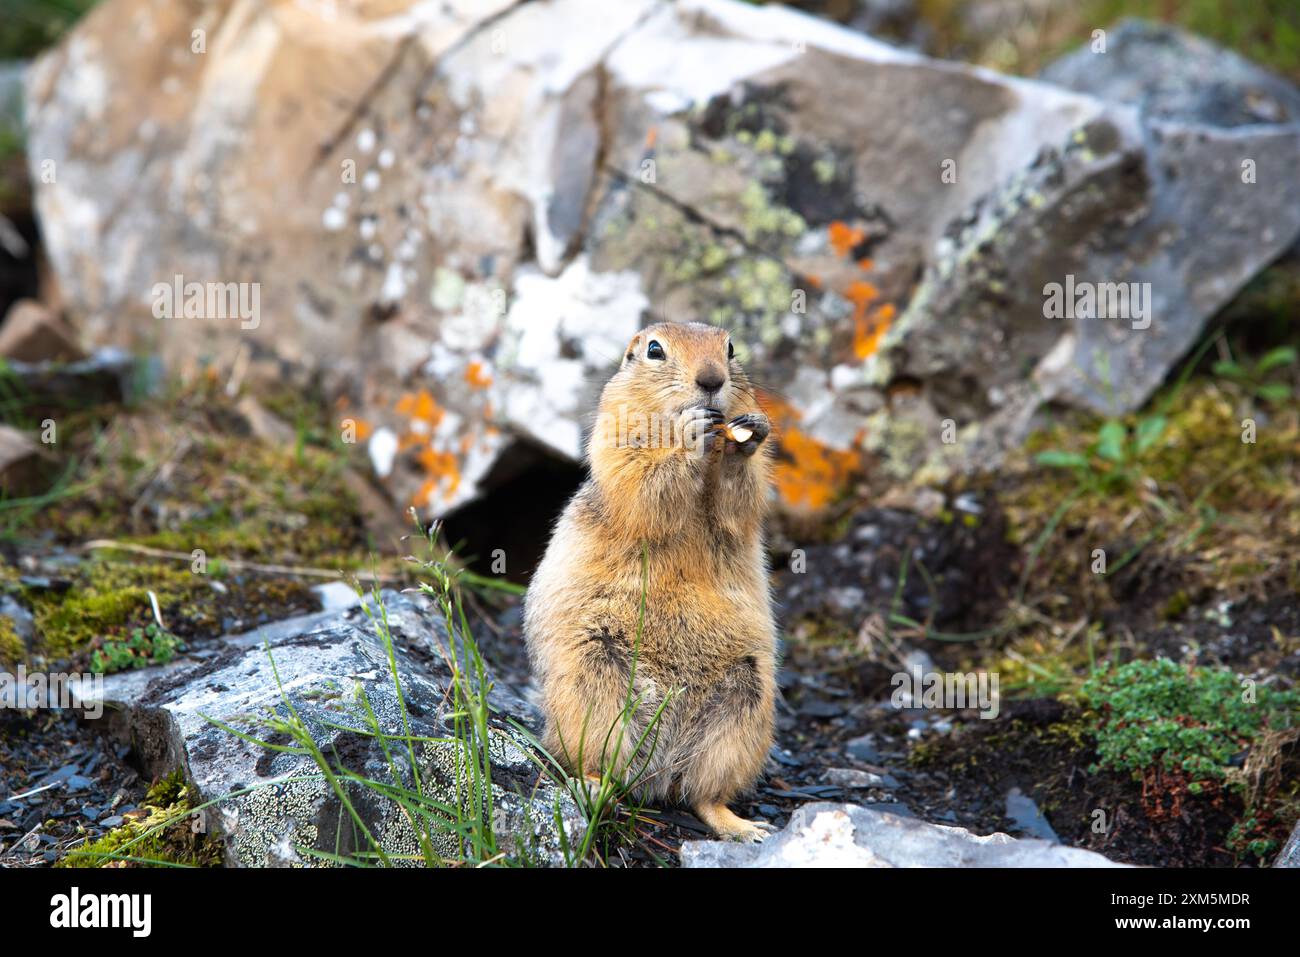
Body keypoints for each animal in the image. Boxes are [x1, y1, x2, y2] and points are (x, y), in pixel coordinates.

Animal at [524, 321, 778, 842]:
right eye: (655, 350)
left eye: (731, 348)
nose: (711, 379)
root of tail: (657, 772)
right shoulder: (615, 441)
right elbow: (642, 485)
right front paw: (689, 435)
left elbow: (740, 502)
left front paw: (749, 437)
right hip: (592, 682)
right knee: (597, 760)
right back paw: (595, 786)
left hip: (746, 705)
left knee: (702, 792)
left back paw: (745, 827)